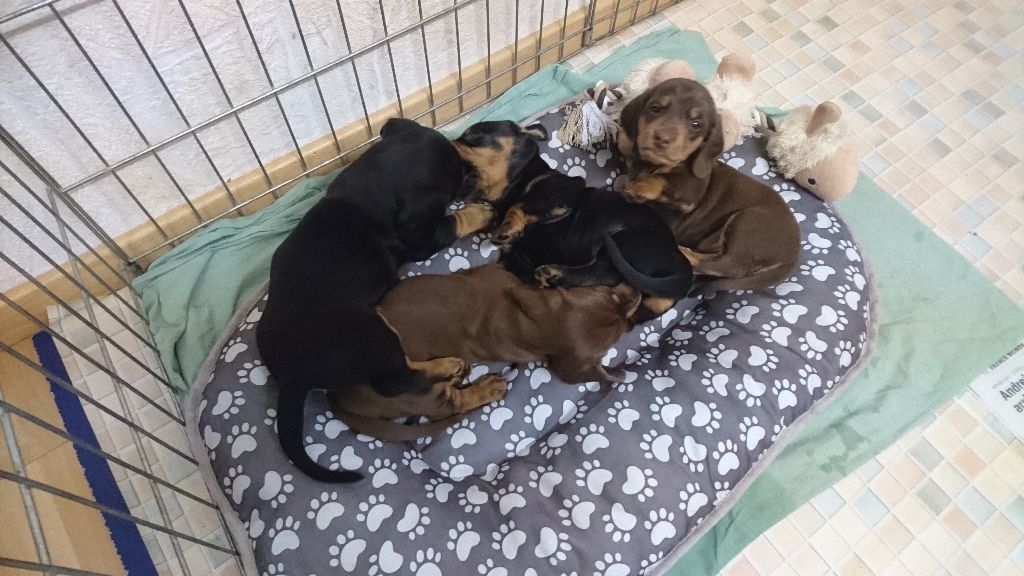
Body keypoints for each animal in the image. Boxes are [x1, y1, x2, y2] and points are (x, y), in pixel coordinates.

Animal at [257, 118, 494, 482]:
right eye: (457, 177)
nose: (473, 170)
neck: (366, 194)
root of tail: (291, 373)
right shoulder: (421, 239)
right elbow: (454, 221)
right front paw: (479, 214)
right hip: (373, 335)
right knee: (398, 380)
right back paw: (446, 367)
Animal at [329, 264, 639, 440]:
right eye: (607, 292)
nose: (635, 290)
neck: (526, 325)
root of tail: (337, 397)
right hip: (416, 392)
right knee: (449, 405)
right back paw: (486, 387)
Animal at [491, 171, 694, 317]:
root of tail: (682, 264)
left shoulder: (552, 193)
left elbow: (518, 206)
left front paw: (505, 231)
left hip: (624, 240)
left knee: (603, 272)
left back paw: (551, 273)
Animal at [616, 78, 800, 292]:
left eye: (696, 124)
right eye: (655, 108)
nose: (662, 138)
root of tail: (793, 256)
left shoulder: (691, 191)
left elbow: (662, 179)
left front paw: (640, 187)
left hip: (749, 221)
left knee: (729, 265)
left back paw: (684, 253)